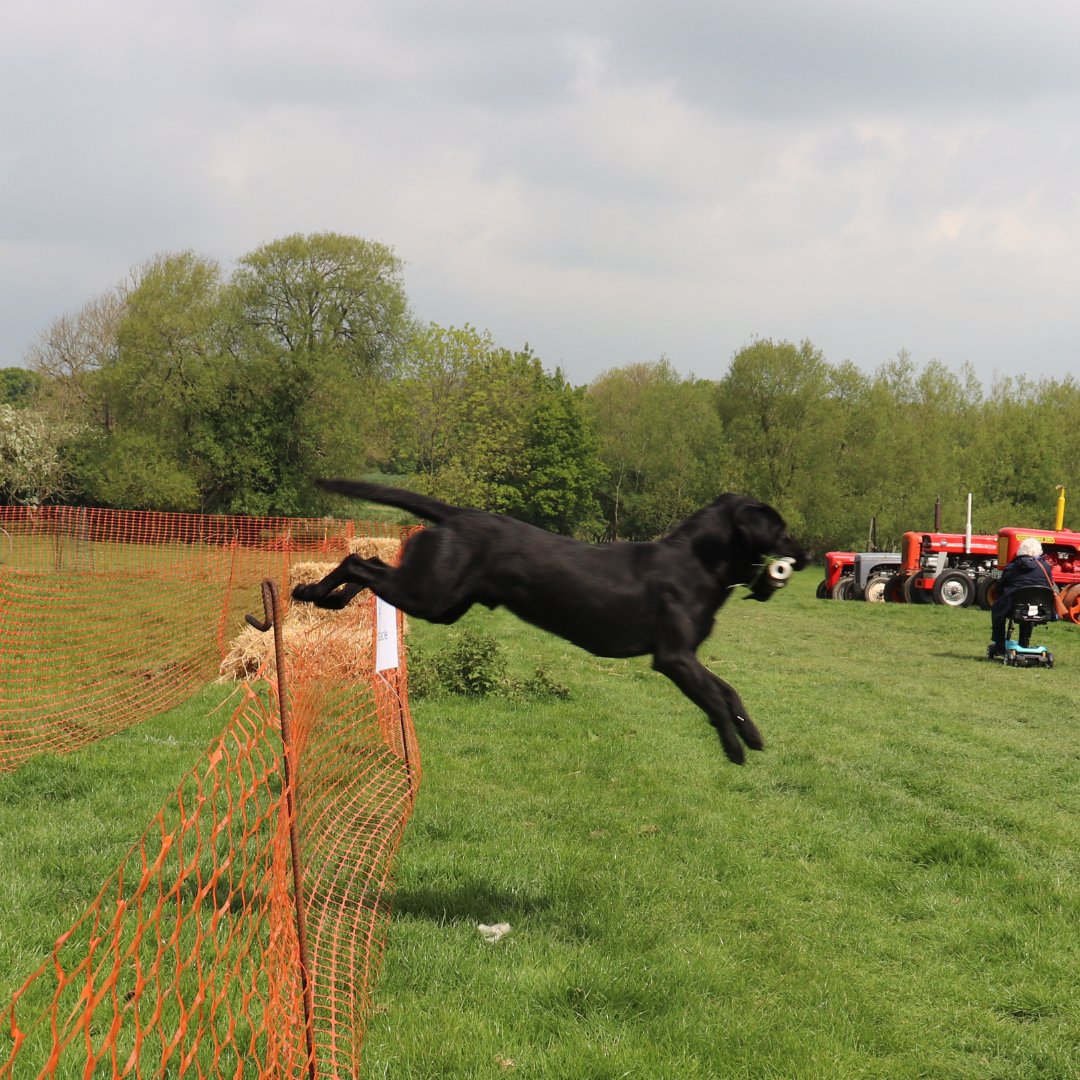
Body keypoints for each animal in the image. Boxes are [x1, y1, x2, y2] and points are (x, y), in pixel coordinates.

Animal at [291, 477, 807, 764]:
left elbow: (729, 691)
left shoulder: (688, 658)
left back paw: (327, 601)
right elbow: (715, 699)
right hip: (429, 594)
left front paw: (751, 734)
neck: (696, 563)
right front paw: (733, 748)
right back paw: (308, 591)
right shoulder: (674, 658)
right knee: (357, 559)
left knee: (371, 562)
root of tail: (457, 514)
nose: (803, 556)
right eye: (781, 528)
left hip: (441, 602)